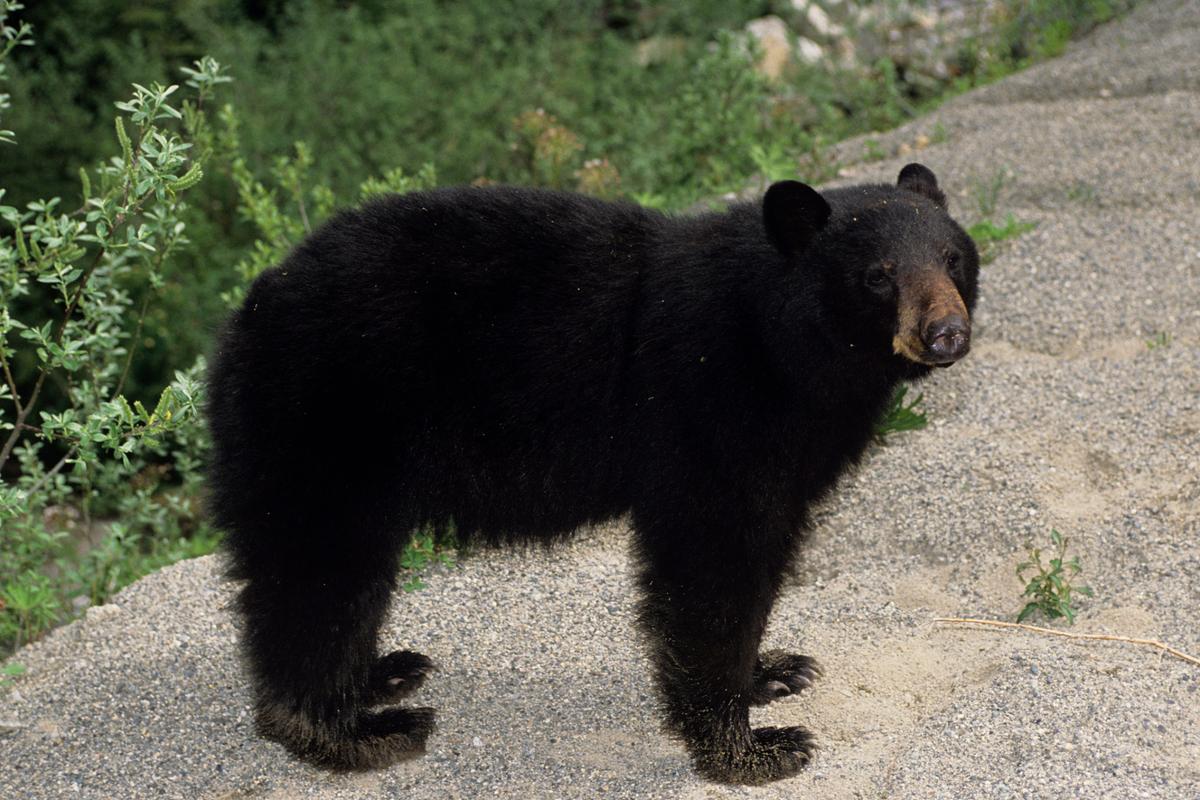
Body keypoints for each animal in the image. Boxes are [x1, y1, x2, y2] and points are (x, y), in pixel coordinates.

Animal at [204, 163, 974, 782]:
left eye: (953, 257)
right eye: (878, 275)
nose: (946, 334)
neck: (783, 341)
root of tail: (248, 311)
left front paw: (773, 671)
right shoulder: (708, 408)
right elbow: (712, 566)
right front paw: (754, 749)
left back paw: (382, 675)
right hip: (329, 423)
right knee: (320, 576)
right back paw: (354, 732)